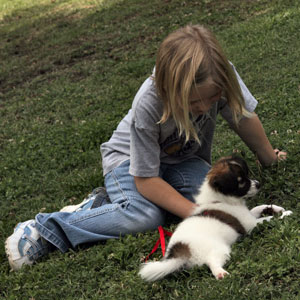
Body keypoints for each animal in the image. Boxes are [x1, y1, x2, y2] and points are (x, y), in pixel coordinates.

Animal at [139, 157, 292, 282]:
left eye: (246, 175)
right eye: (241, 182)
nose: (258, 184)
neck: (218, 199)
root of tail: (182, 250)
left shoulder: (247, 216)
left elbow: (259, 208)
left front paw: (277, 208)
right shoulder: (249, 225)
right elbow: (269, 219)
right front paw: (286, 214)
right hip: (219, 249)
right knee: (212, 262)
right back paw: (220, 273)